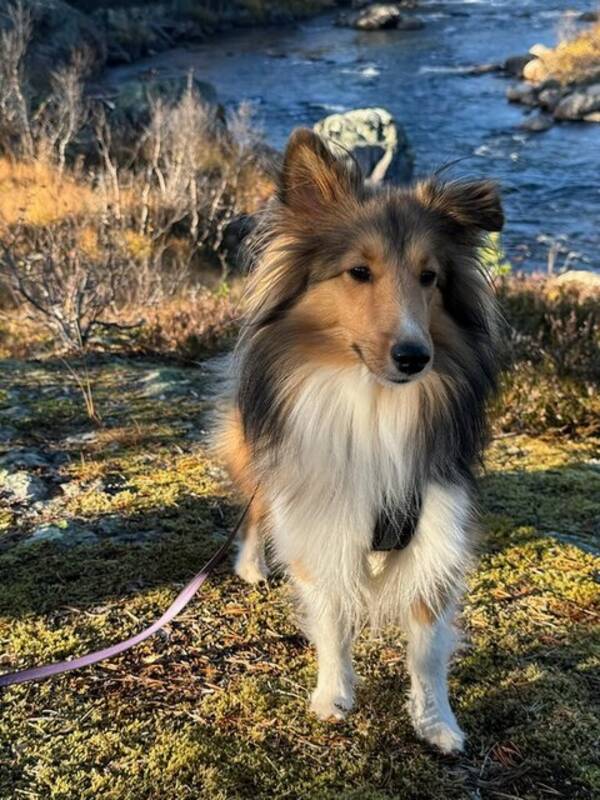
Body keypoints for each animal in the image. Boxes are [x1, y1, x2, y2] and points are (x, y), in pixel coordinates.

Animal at [216, 128, 502, 752]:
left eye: (429, 277)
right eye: (358, 272)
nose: (414, 357)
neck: (374, 405)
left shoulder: (437, 528)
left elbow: (428, 648)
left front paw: (436, 722)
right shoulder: (320, 516)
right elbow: (331, 618)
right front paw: (334, 695)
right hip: (257, 454)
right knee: (254, 508)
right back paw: (251, 564)